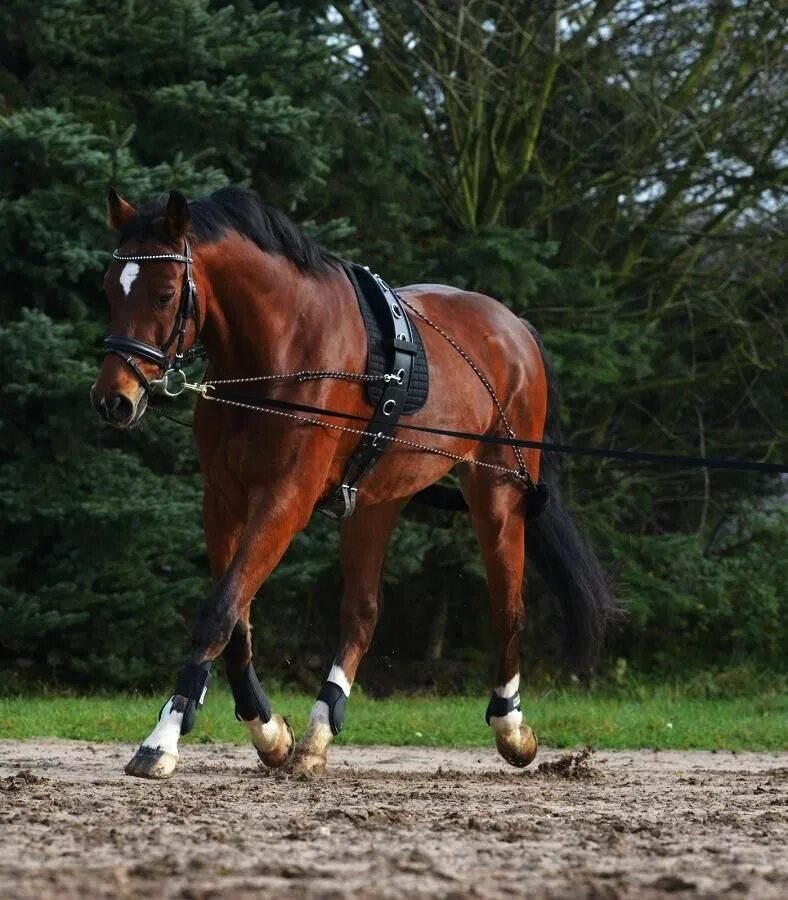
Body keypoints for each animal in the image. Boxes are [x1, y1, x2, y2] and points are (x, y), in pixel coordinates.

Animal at [91, 186, 608, 776]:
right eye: (110, 290)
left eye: (164, 294)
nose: (114, 399)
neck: (280, 350)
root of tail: (516, 329)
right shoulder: (222, 501)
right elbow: (237, 617)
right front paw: (269, 731)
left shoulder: (285, 499)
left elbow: (219, 611)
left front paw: (163, 738)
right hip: (378, 500)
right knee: (362, 613)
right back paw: (319, 730)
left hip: (496, 495)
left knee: (508, 606)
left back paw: (510, 725)